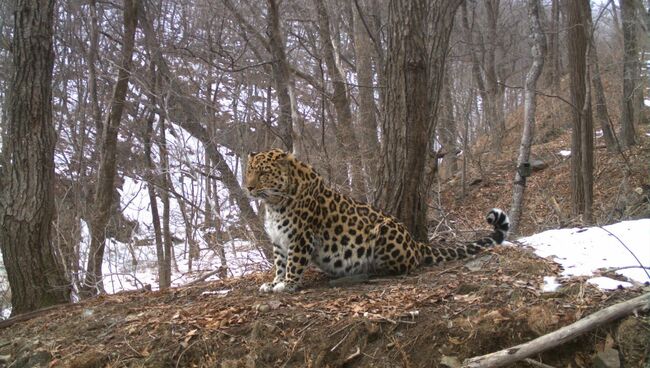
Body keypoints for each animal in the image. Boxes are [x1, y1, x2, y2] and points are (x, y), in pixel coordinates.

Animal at [246, 148, 508, 292]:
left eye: (263, 173)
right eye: (248, 171)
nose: (248, 187)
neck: (273, 203)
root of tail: (415, 242)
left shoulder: (301, 237)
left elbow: (293, 263)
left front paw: (287, 285)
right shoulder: (278, 241)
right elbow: (280, 263)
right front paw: (274, 282)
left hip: (384, 230)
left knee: (404, 266)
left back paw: (368, 270)